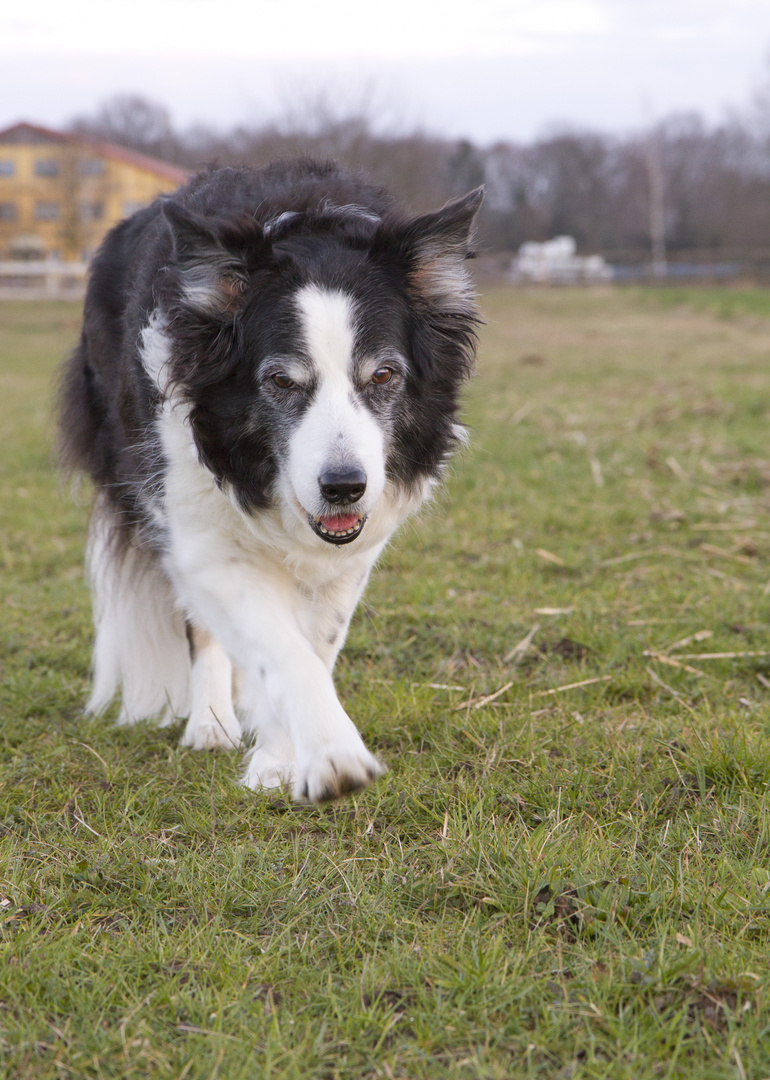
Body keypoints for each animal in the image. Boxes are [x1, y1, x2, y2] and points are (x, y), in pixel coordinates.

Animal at [59, 159, 479, 803]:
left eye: (384, 375)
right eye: (281, 382)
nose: (344, 487)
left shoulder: (352, 554)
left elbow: (313, 644)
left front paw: (281, 757)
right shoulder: (200, 529)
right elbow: (277, 647)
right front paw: (332, 755)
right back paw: (211, 722)